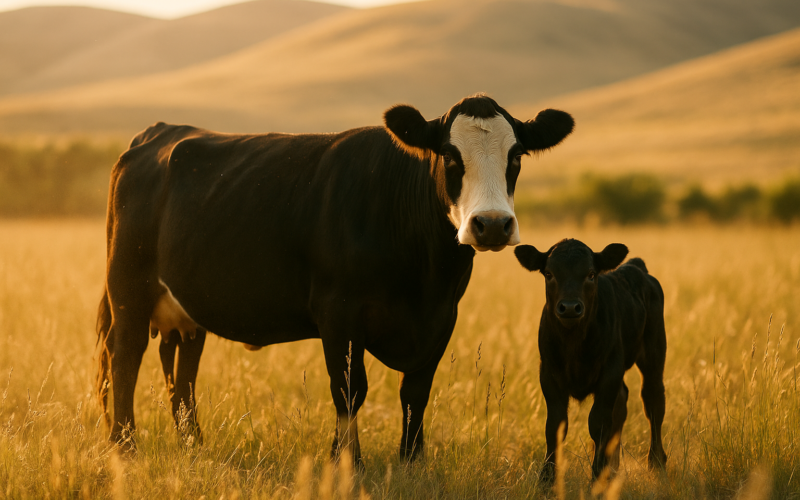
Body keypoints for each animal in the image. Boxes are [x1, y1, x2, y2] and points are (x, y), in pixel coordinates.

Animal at [96, 94, 574, 465]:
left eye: (515, 156)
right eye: (450, 156)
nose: (491, 224)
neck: (423, 275)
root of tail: (157, 133)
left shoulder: (441, 317)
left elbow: (416, 391)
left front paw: (411, 459)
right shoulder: (338, 313)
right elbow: (349, 389)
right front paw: (347, 461)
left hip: (187, 306)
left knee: (182, 369)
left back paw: (193, 443)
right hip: (128, 289)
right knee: (124, 356)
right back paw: (125, 445)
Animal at [514, 239, 667, 482]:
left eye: (591, 274)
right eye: (549, 273)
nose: (569, 307)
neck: (574, 343)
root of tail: (636, 266)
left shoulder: (609, 372)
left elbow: (598, 423)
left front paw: (597, 476)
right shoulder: (548, 374)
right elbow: (554, 426)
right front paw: (547, 479)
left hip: (654, 351)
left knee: (653, 400)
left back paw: (656, 463)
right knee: (623, 399)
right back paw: (613, 467)